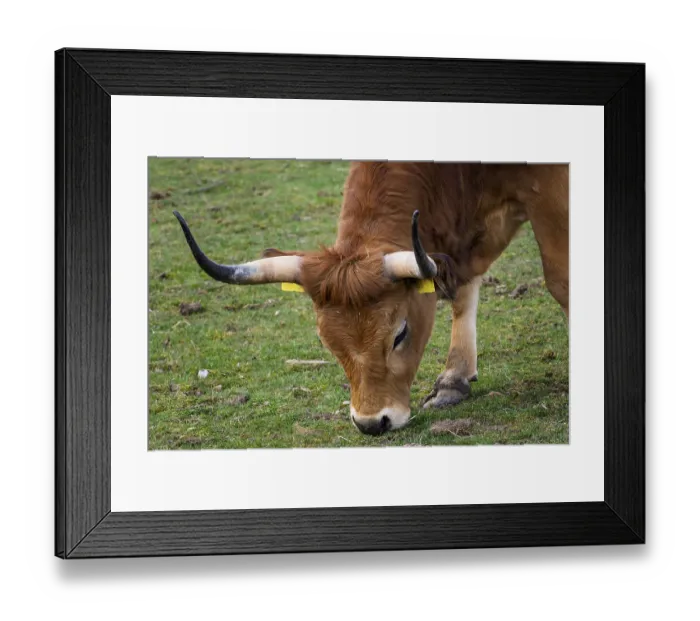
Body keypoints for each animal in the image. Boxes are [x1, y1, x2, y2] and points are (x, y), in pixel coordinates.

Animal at [174, 162, 569, 436]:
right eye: (327, 343)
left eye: (400, 334)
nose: (372, 423)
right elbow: (463, 293)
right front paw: (453, 379)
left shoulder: (548, 192)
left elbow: (559, 279)